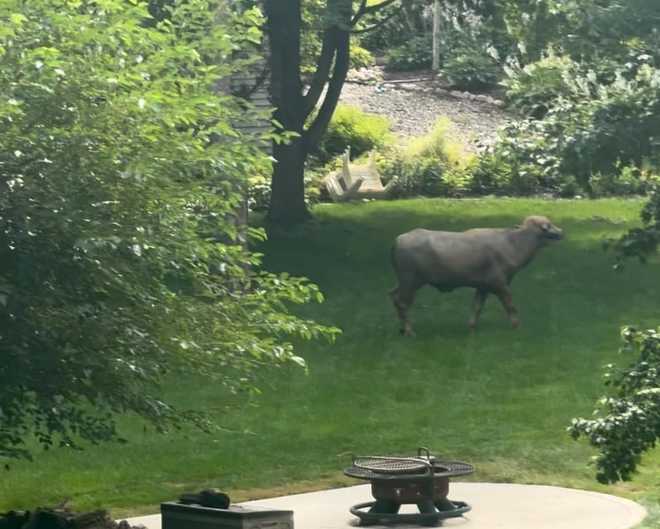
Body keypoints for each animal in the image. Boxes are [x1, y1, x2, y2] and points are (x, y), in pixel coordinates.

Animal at [390, 214, 564, 334]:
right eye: (549, 225)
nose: (561, 232)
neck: (514, 244)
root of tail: (398, 240)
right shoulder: (500, 284)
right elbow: (510, 305)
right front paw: (516, 326)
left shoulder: (483, 287)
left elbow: (477, 307)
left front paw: (472, 327)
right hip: (410, 281)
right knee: (402, 302)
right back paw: (409, 331)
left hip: (404, 281)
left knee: (394, 296)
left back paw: (402, 329)